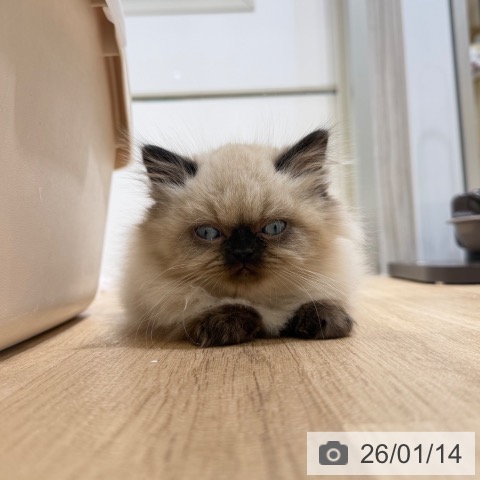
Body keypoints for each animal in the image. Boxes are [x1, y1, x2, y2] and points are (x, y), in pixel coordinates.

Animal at [121, 130, 364, 347]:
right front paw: (227, 324)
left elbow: (317, 301)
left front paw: (327, 321)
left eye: (273, 228)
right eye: (208, 233)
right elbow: (215, 307)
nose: (243, 252)